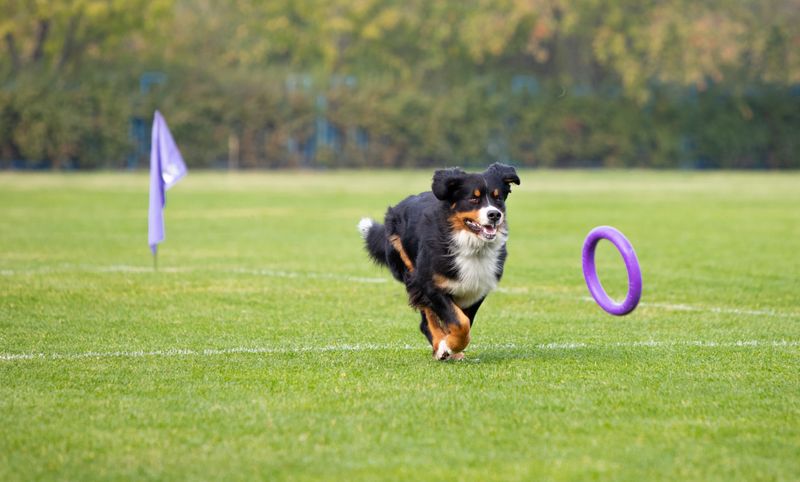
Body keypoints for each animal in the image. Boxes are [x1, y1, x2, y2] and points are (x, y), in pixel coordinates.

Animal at [356, 164, 520, 360]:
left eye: (498, 198)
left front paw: (452, 347)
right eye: (473, 198)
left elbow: (464, 322)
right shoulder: (430, 285)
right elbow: (460, 323)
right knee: (427, 319)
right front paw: (447, 346)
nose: (494, 214)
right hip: (412, 273)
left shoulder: (476, 289)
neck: (470, 245)